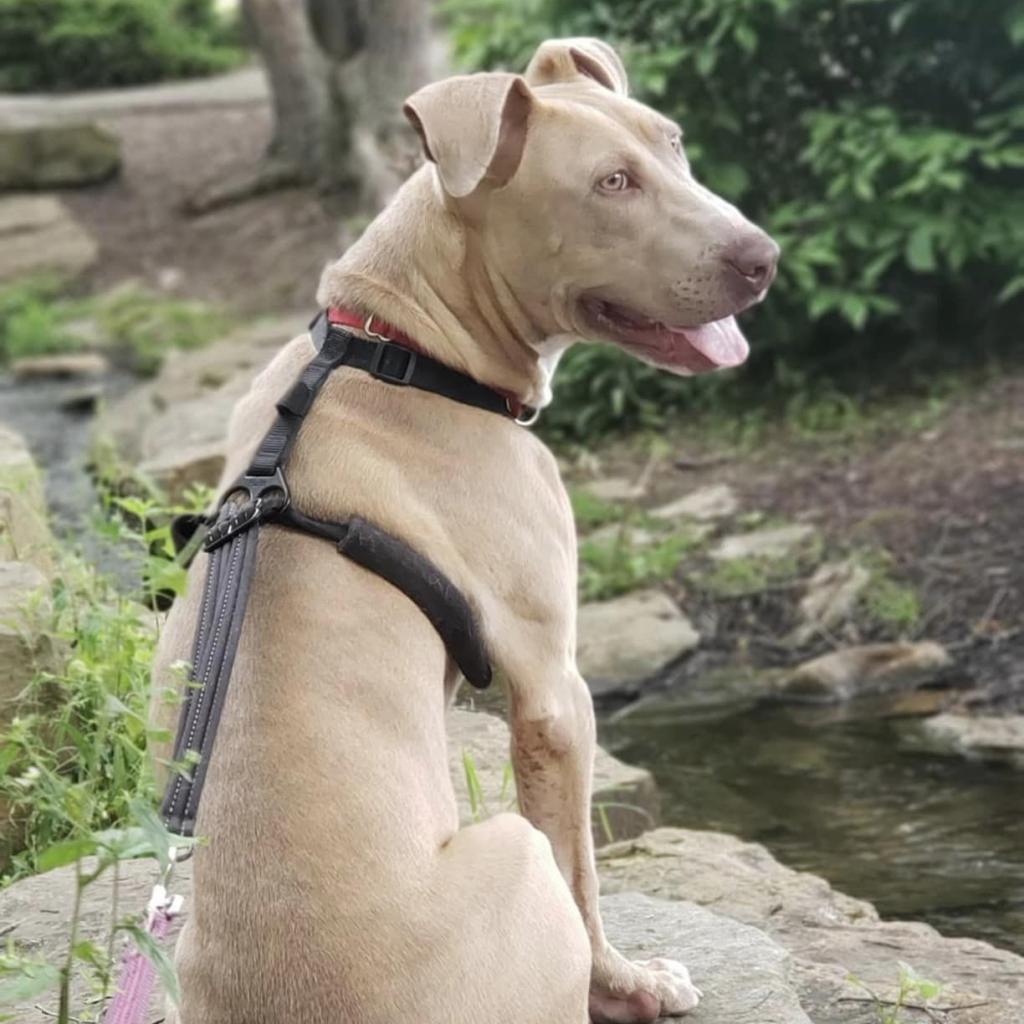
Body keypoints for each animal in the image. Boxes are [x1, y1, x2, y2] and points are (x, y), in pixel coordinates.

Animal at [149, 36, 774, 1019]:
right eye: (611, 183)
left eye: (671, 144)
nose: (766, 258)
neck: (398, 347)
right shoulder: (555, 690)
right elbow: (586, 873)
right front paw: (629, 984)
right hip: (512, 850)